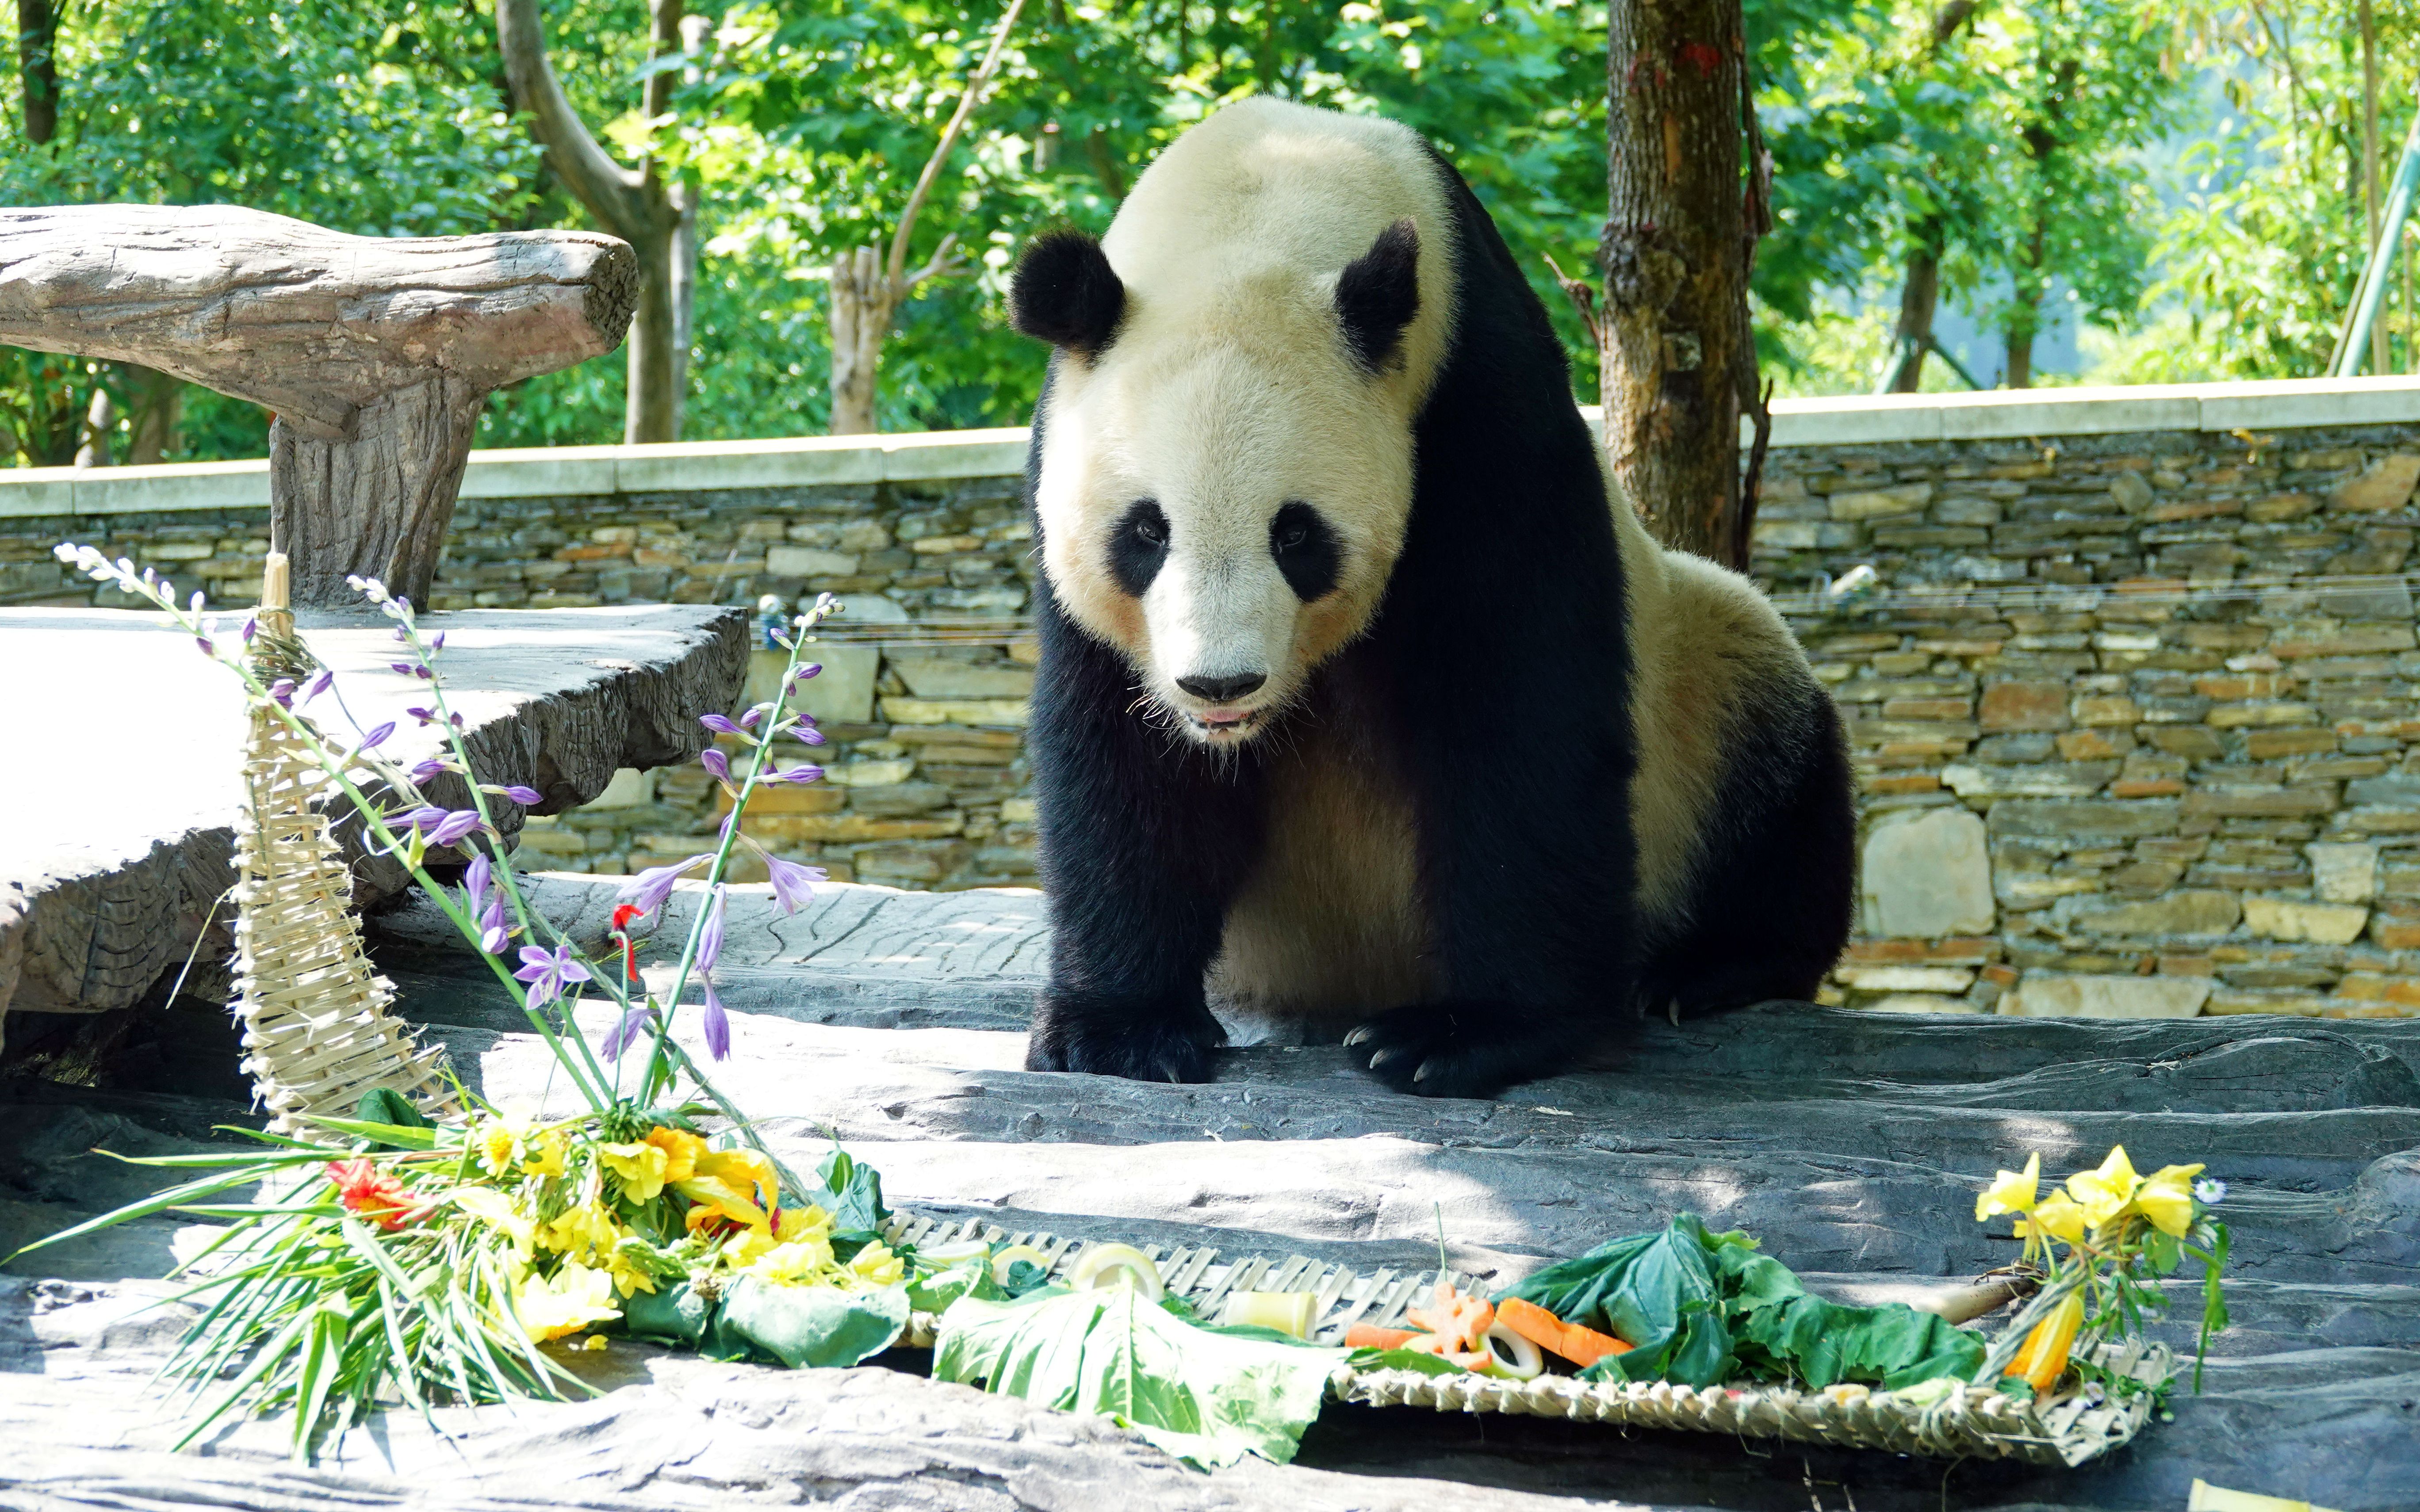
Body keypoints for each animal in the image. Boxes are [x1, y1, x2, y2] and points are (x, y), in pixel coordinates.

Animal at [1002, 97, 1849, 1098]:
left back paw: (1707, 968)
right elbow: (1120, 748)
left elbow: (1517, 707)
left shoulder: (1477, 405)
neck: (1264, 199)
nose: (1220, 686)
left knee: (1775, 761)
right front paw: (1123, 1030)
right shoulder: (1060, 459)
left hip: (1704, 688)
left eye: (1296, 535)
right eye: (1145, 533)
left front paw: (1468, 1033)